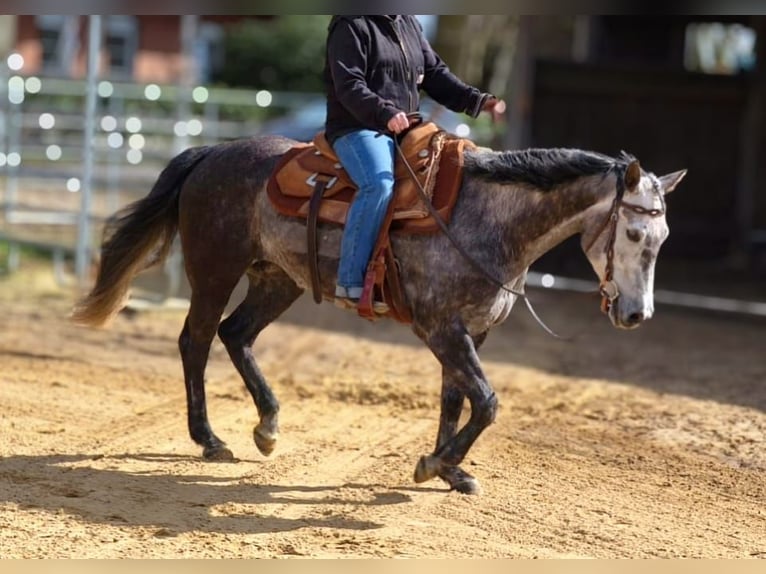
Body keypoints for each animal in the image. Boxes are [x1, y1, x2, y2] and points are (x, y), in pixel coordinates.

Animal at [71, 132, 685, 494]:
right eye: (634, 233)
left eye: (663, 238)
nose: (637, 315)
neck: (490, 220)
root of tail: (213, 154)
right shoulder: (440, 327)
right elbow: (487, 402)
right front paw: (435, 465)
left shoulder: (472, 331)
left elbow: (457, 398)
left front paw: (450, 468)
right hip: (216, 271)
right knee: (196, 340)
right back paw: (209, 439)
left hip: (278, 280)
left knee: (235, 334)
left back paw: (267, 426)